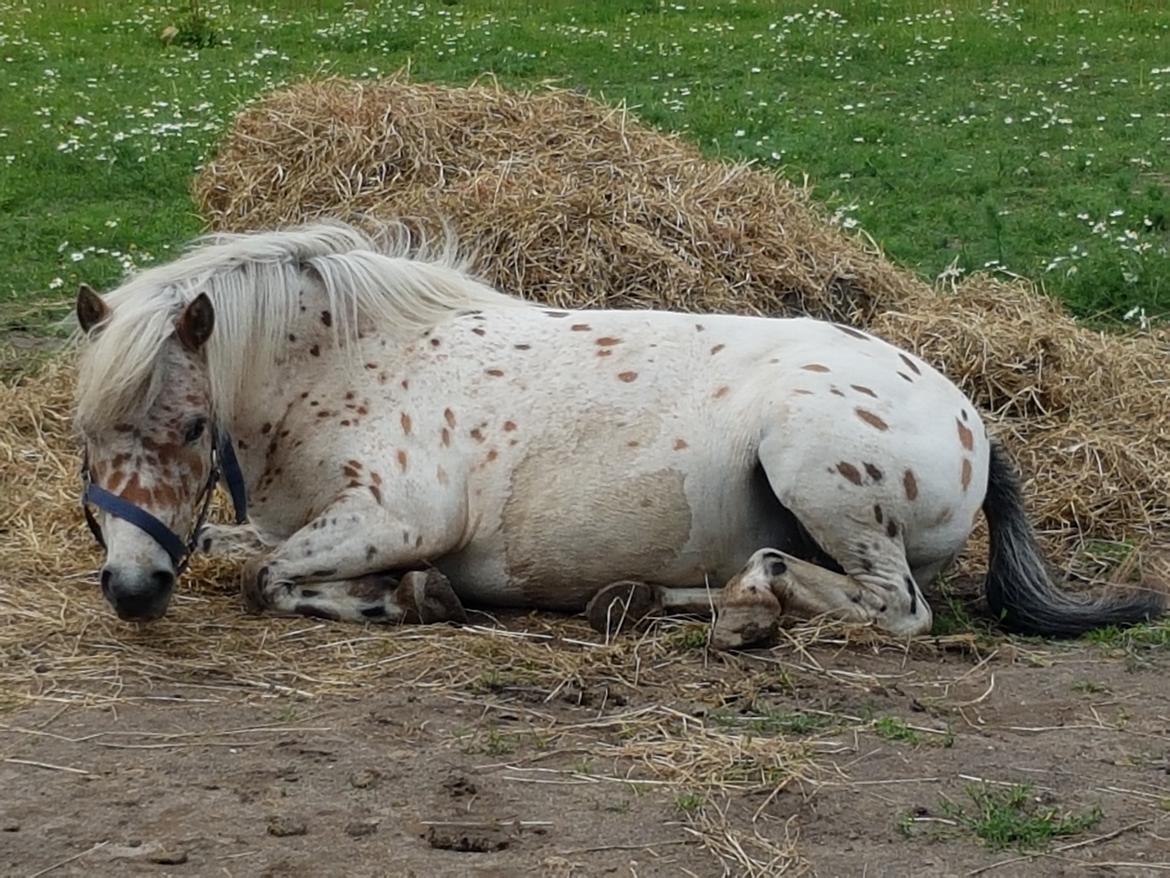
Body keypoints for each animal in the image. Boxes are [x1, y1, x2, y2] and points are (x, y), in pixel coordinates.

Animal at [73, 220, 1160, 646]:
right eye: (85, 436)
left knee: (893, 607)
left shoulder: (395, 517)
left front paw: (411, 596)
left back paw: (752, 606)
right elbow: (240, 550)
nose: (131, 590)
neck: (352, 368)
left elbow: (269, 579)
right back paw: (657, 601)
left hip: (813, 464)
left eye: (191, 424)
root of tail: (971, 416)